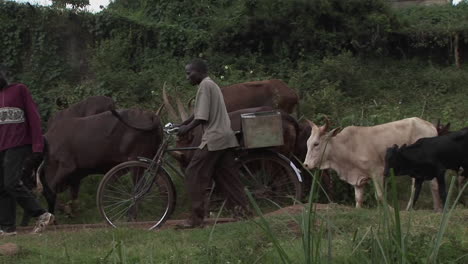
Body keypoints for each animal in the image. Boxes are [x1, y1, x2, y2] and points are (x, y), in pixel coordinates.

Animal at [304, 117, 442, 210]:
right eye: (307, 143)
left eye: (316, 144)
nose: (305, 164)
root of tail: (431, 126)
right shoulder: (358, 180)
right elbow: (358, 199)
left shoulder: (377, 172)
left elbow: (380, 195)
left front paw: (390, 210)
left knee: (431, 185)